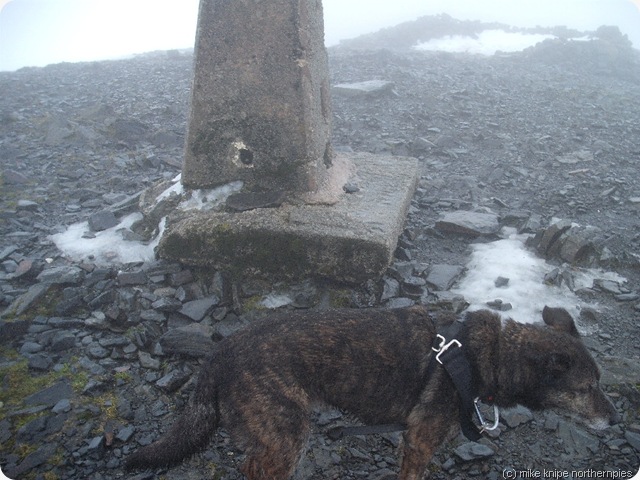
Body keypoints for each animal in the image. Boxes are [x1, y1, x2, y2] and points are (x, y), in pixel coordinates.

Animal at [125, 306, 620, 478]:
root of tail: (221, 351)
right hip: (287, 432)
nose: (616, 419)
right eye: (588, 388)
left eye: (599, 382)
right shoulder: (419, 441)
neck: (490, 353)